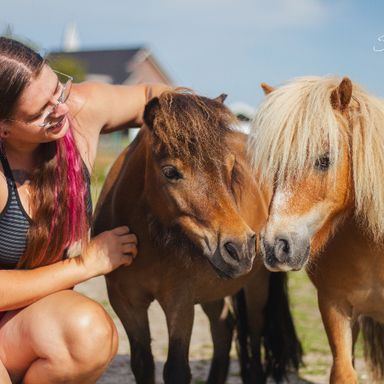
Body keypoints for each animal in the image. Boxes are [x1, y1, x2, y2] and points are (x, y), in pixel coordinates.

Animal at [94, 91, 304, 384]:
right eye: (170, 172)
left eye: (230, 169)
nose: (240, 248)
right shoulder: (127, 304)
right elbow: (143, 364)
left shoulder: (180, 303)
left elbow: (177, 369)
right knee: (224, 328)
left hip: (256, 286)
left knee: (253, 339)